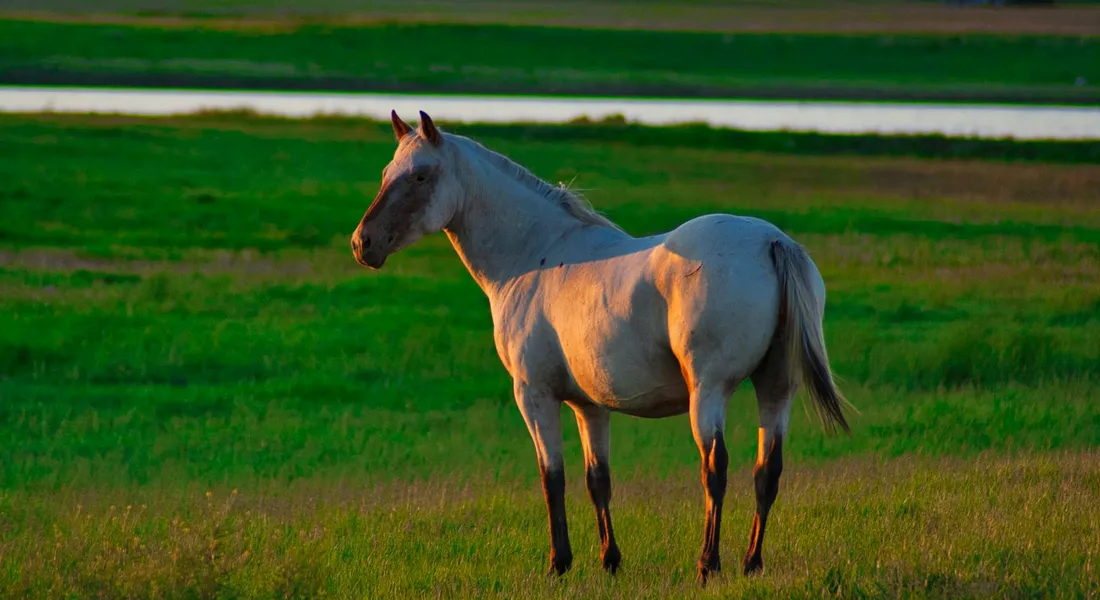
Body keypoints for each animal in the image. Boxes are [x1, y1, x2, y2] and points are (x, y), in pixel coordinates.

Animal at [351, 110, 850, 583]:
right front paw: (610, 561)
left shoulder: (534, 396)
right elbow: (598, 480)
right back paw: (751, 563)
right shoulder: (589, 406)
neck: (532, 256)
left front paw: (559, 563)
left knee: (716, 468)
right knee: (768, 471)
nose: (362, 243)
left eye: (420, 176)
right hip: (776, 389)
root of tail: (771, 241)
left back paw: (708, 563)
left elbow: (551, 477)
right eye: (387, 172)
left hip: (708, 392)